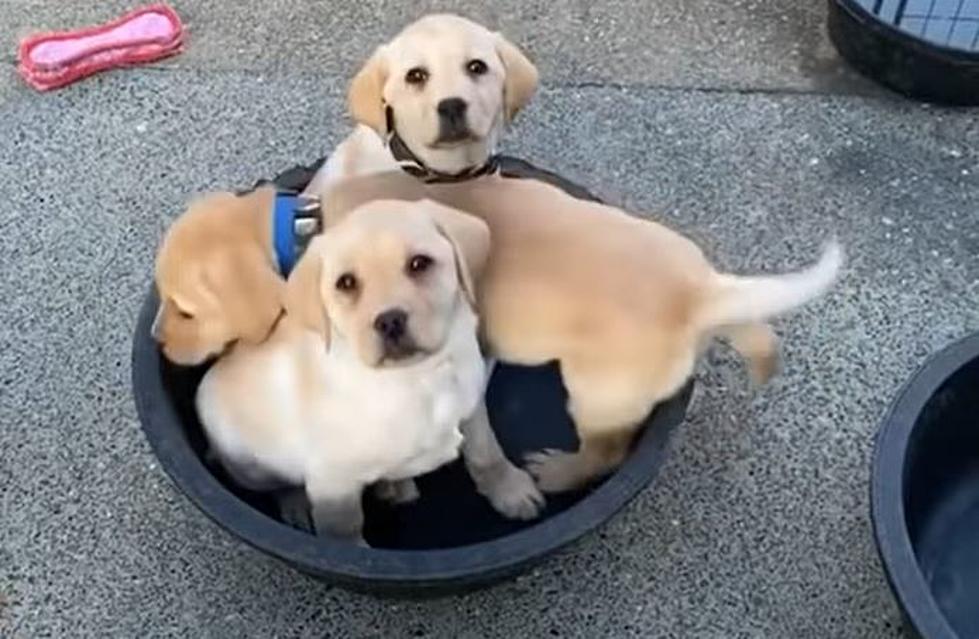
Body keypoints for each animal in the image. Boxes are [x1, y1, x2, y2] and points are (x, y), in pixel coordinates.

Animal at [195, 201, 548, 544]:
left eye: (419, 264)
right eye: (346, 283)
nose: (390, 321)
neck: (418, 379)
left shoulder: (472, 408)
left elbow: (486, 452)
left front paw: (509, 489)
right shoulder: (333, 484)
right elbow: (344, 531)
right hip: (250, 465)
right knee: (278, 485)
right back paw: (297, 504)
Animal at [314, 174, 844, 496]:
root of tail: (697, 293)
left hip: (595, 394)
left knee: (606, 453)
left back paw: (558, 471)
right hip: (716, 292)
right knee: (754, 326)